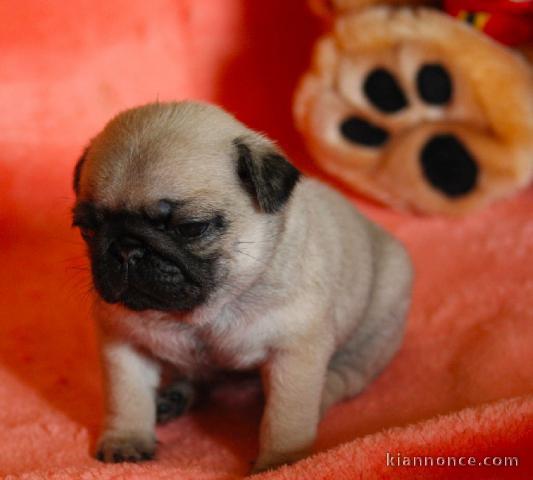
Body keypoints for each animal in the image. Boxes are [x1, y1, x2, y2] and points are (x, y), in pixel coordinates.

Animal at [71, 99, 412, 470]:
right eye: (88, 229)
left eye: (191, 228)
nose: (126, 249)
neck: (201, 315)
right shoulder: (123, 341)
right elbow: (128, 396)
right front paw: (127, 440)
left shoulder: (294, 351)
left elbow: (286, 416)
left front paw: (281, 461)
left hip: (374, 332)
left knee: (341, 377)